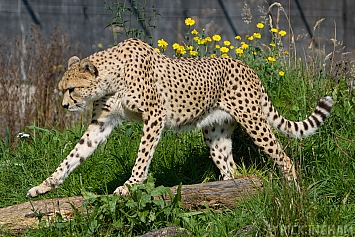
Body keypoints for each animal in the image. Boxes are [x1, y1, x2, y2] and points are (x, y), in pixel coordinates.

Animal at [27, 38, 334, 198]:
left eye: (71, 89)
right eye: (63, 90)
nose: (65, 105)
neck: (112, 77)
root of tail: (246, 66)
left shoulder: (155, 115)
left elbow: (143, 154)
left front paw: (131, 184)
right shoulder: (101, 123)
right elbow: (74, 155)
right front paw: (45, 185)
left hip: (253, 121)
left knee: (283, 156)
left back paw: (293, 190)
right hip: (215, 134)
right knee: (230, 167)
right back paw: (225, 190)